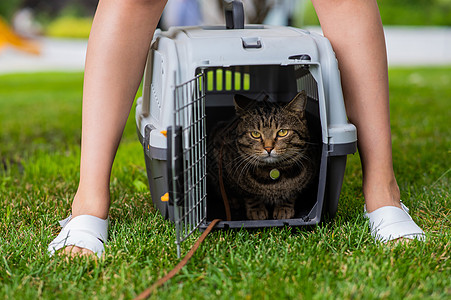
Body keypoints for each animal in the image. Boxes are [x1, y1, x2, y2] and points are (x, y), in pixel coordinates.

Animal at [211, 91, 318, 220]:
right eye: (255, 134)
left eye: (282, 132)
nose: (268, 148)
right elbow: (249, 194)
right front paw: (256, 210)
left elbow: (292, 193)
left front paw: (284, 207)